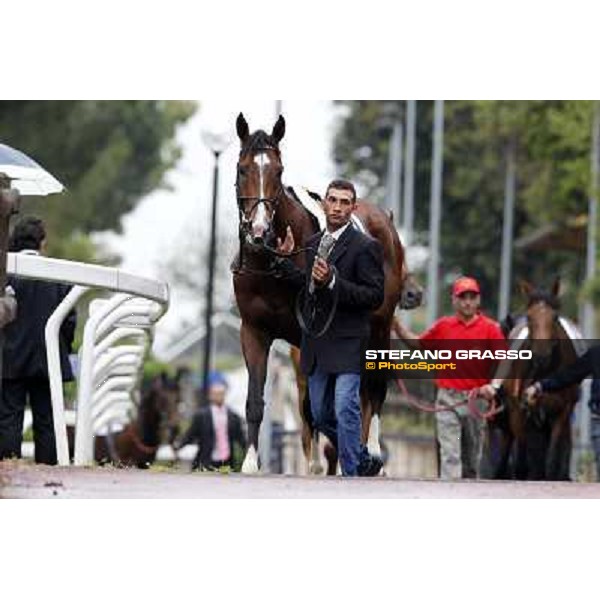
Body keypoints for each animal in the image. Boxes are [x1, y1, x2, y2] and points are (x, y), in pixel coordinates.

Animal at [232, 112, 424, 474]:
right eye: (242, 169)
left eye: (278, 171)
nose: (259, 231)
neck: (270, 264)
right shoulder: (253, 331)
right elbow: (256, 400)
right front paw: (251, 463)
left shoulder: (309, 338)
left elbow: (317, 404)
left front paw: (330, 461)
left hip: (379, 327)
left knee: (373, 388)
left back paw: (372, 454)